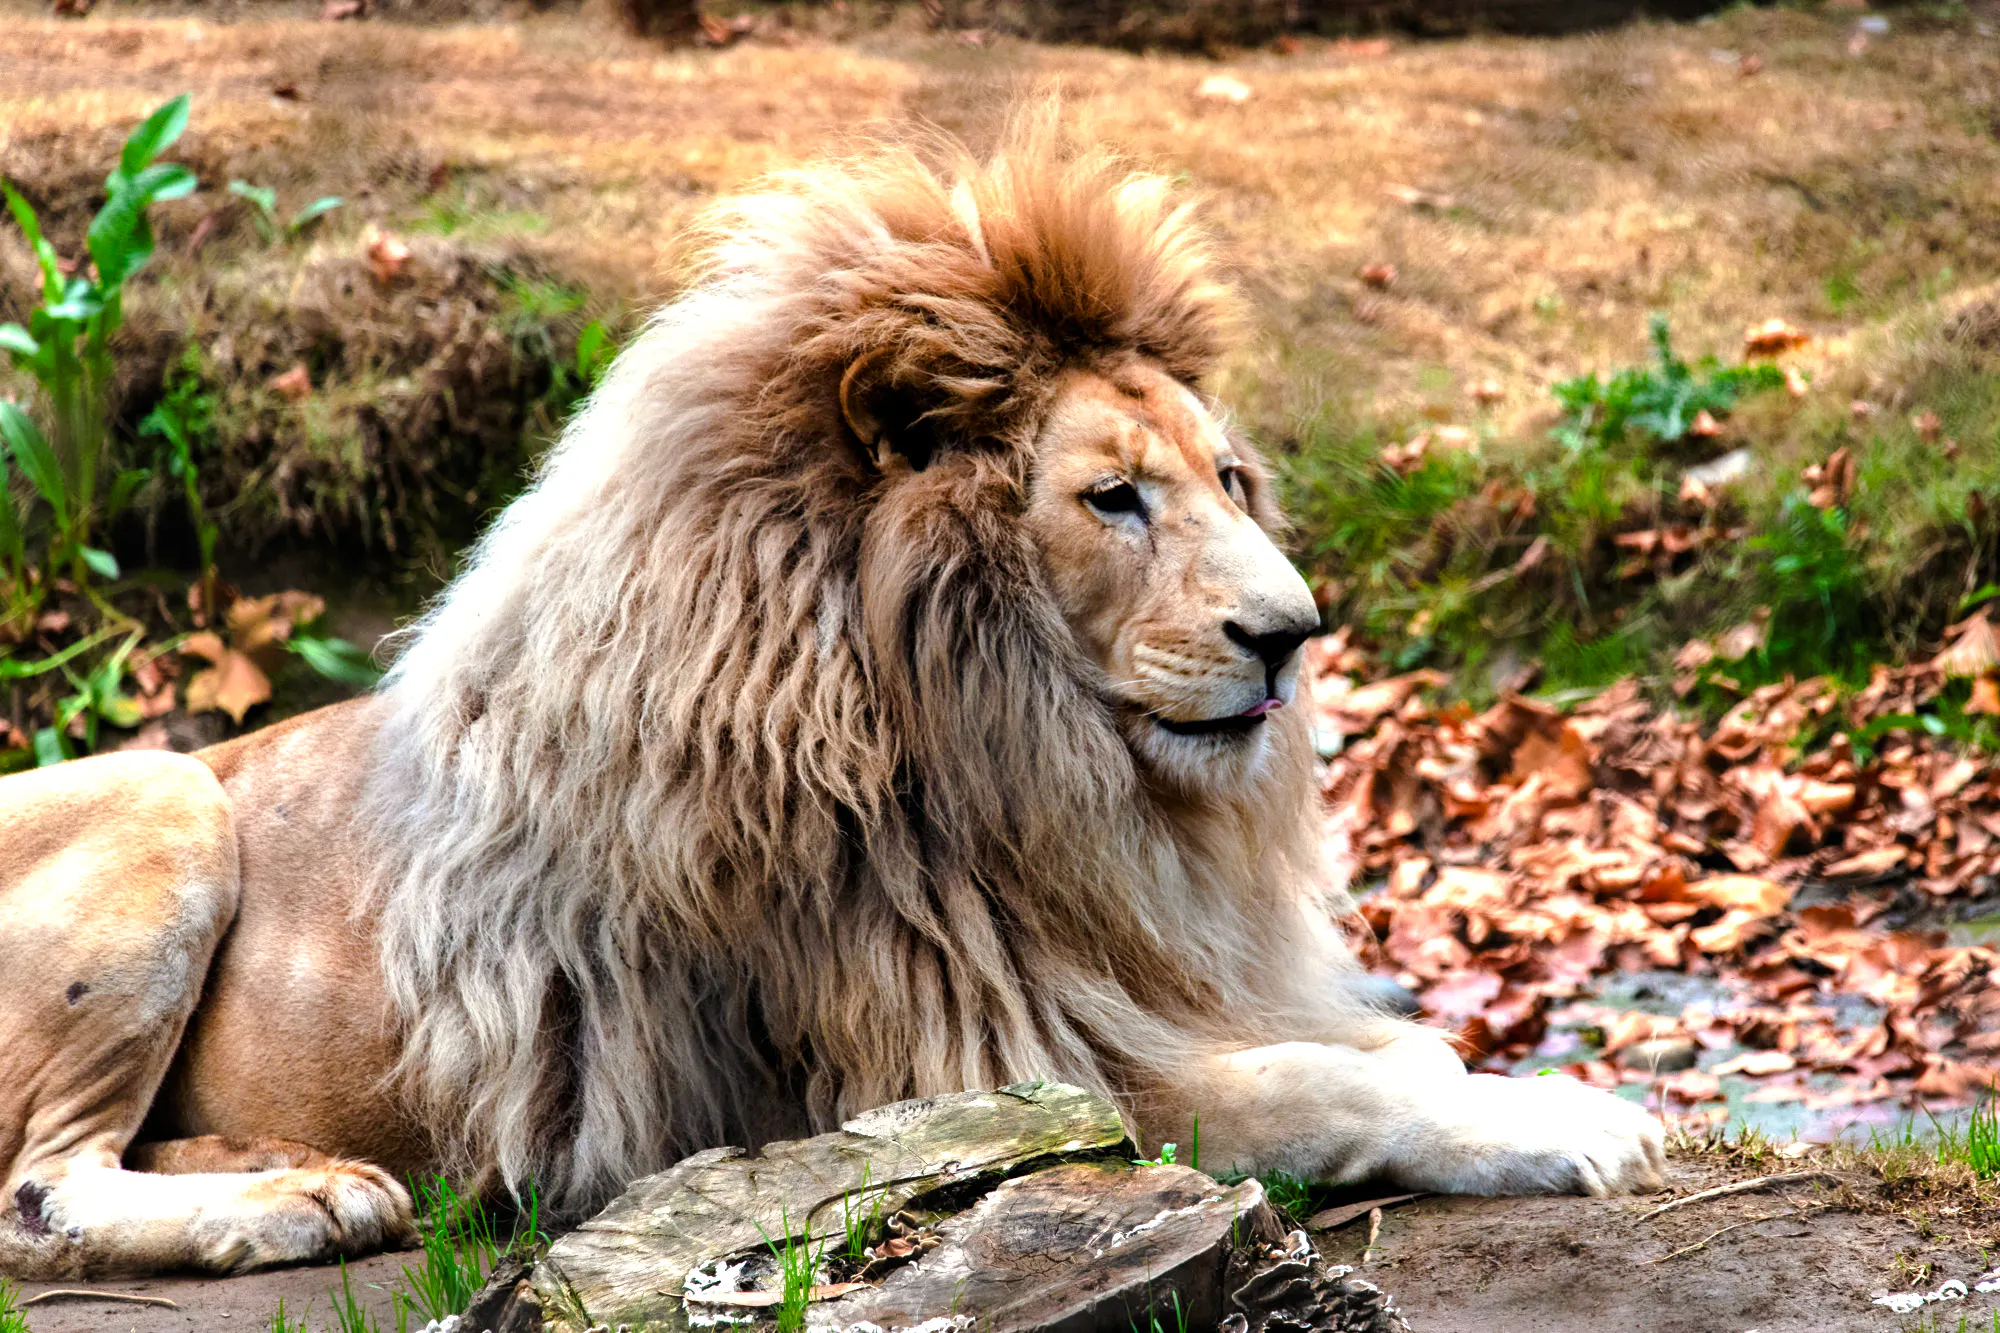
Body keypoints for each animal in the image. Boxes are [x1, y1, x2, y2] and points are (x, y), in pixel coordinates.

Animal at [0, 125, 1663, 1280]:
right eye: (1113, 498)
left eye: (1229, 480)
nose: (1294, 633)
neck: (1012, 770)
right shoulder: (961, 1087)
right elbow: (1331, 1091)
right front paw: (1566, 1119)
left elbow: (1391, 1050)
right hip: (169, 788)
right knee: (33, 1186)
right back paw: (297, 1200)